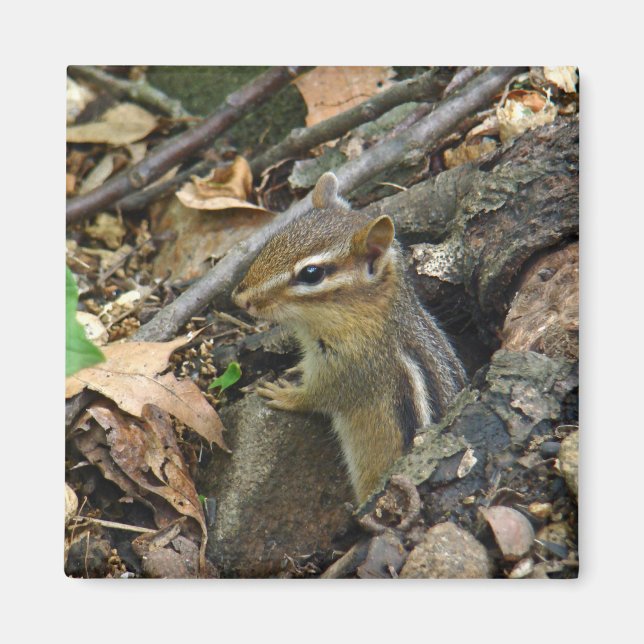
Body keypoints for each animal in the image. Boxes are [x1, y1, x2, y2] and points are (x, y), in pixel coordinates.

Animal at [232, 172, 466, 503]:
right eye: (274, 240)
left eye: (311, 274)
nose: (240, 299)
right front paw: (297, 369)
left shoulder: (354, 368)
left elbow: (320, 396)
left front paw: (284, 394)